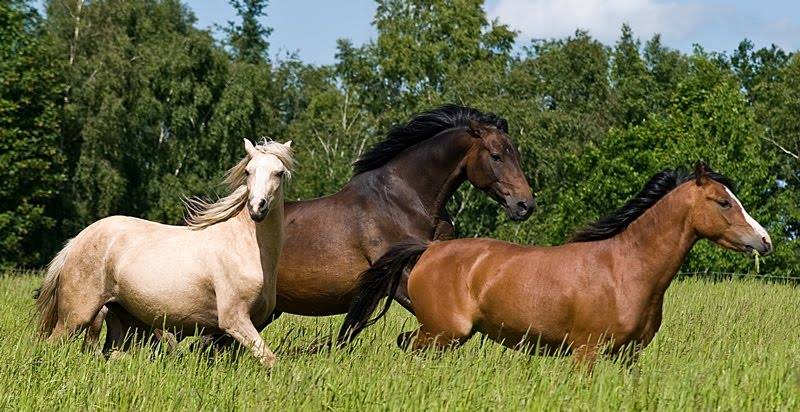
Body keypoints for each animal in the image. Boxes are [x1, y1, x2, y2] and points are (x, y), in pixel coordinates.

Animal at [35, 139, 294, 367]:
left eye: (279, 173)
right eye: (249, 171)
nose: (257, 207)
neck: (246, 248)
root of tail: (76, 241)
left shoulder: (241, 328)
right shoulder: (234, 319)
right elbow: (270, 360)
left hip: (120, 317)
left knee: (109, 353)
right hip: (76, 316)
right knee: (51, 345)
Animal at [340, 164, 772, 368]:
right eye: (723, 202)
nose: (765, 240)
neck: (626, 270)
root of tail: (428, 249)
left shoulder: (628, 356)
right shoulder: (587, 353)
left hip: (446, 336)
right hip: (441, 332)